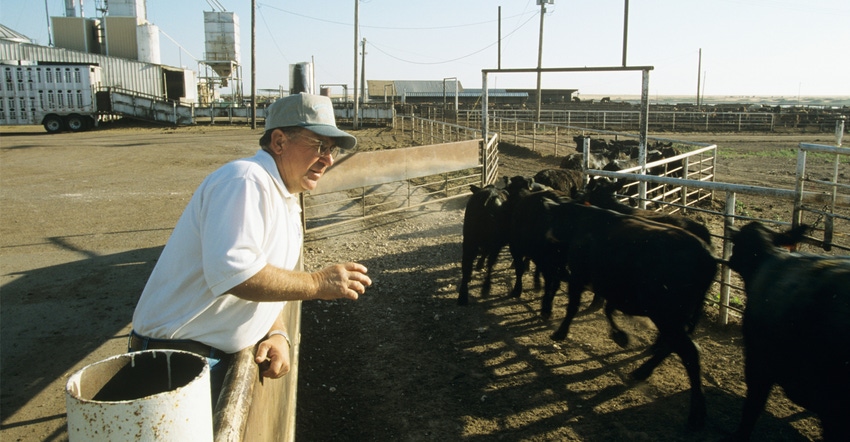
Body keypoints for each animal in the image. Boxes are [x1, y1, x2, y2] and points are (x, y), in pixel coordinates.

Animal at [544, 200, 716, 428]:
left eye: (553, 218)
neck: (582, 221)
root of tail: (708, 258)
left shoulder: (579, 276)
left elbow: (574, 306)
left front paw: (560, 333)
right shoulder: (613, 289)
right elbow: (608, 309)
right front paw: (620, 336)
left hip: (667, 316)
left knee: (689, 352)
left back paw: (697, 413)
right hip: (679, 317)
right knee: (673, 345)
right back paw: (642, 371)